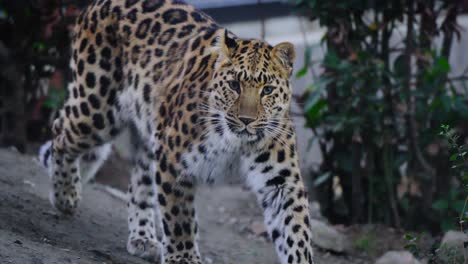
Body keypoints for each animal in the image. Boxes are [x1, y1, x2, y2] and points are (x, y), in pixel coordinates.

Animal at [39, 0, 314, 264]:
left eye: (267, 90)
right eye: (234, 85)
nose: (247, 120)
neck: (237, 143)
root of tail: (96, 4)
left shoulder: (282, 182)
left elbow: (296, 231)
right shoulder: (173, 160)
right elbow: (178, 217)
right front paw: (183, 257)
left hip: (149, 133)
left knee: (139, 184)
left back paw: (142, 238)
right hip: (97, 108)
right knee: (61, 130)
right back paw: (65, 194)